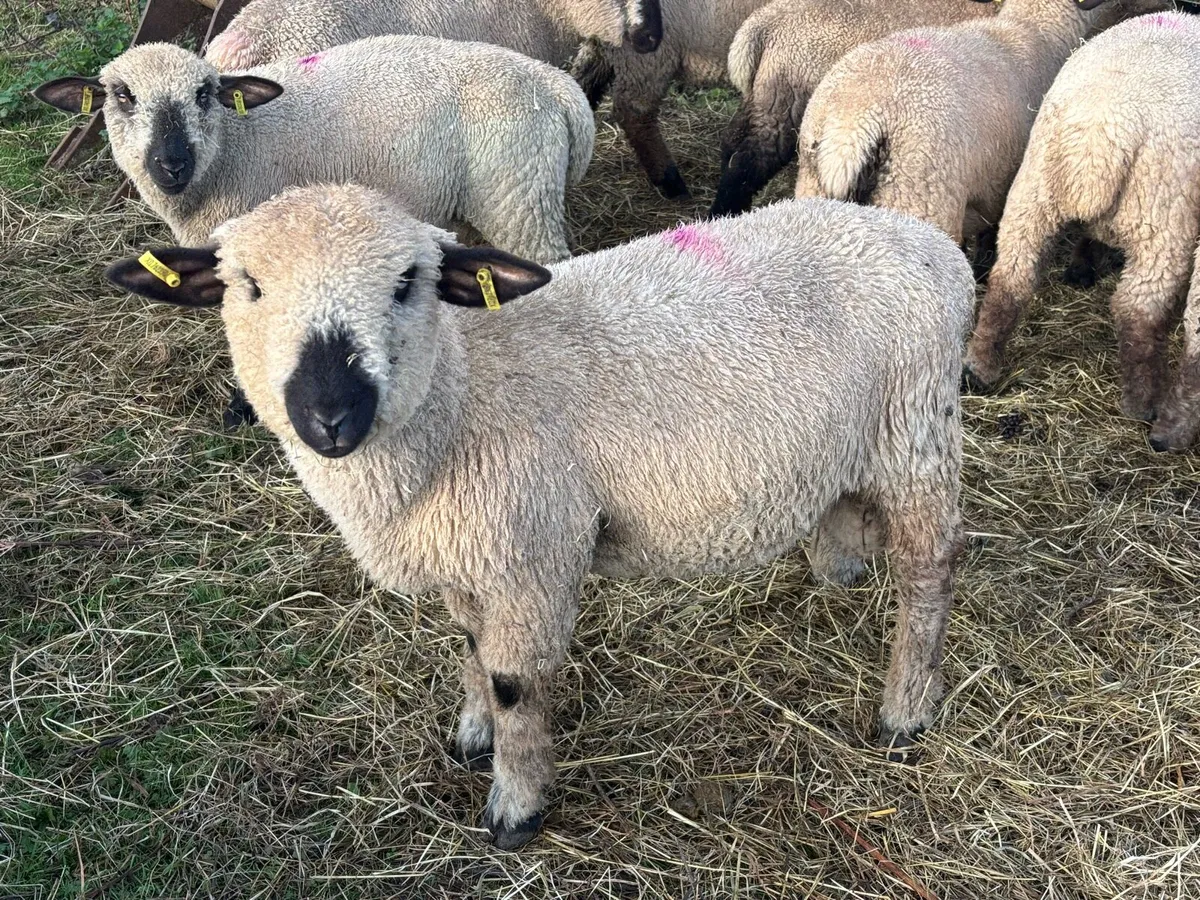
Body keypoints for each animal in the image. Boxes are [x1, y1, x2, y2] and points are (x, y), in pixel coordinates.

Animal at [34, 37, 593, 263]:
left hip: (520, 200)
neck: (234, 144)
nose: (171, 164)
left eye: (204, 94)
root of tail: (554, 82)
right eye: (122, 96)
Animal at [105, 182, 973, 850]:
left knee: (931, 572)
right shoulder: (470, 555)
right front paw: (471, 734)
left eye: (408, 282)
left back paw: (905, 712)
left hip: (918, 433)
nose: (329, 414)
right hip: (859, 438)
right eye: (246, 284)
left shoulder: (533, 553)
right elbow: (471, 651)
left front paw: (515, 807)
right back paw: (837, 574)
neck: (460, 394)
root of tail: (934, 245)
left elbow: (515, 682)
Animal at [709, 0, 1000, 219]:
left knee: (732, 141)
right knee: (749, 160)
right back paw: (724, 213)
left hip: (764, 97)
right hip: (785, 101)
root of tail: (763, 23)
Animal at [791, 0, 1155, 265]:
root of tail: (849, 129)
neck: (1034, 29)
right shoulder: (1003, 177)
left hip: (813, 186)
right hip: (919, 197)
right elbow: (991, 233)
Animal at [964, 10, 1200, 452]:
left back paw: (978, 368)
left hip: (1032, 193)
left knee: (1010, 282)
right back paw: (1147, 409)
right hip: (1162, 219)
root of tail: (1098, 138)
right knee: (1140, 313)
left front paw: (1082, 266)